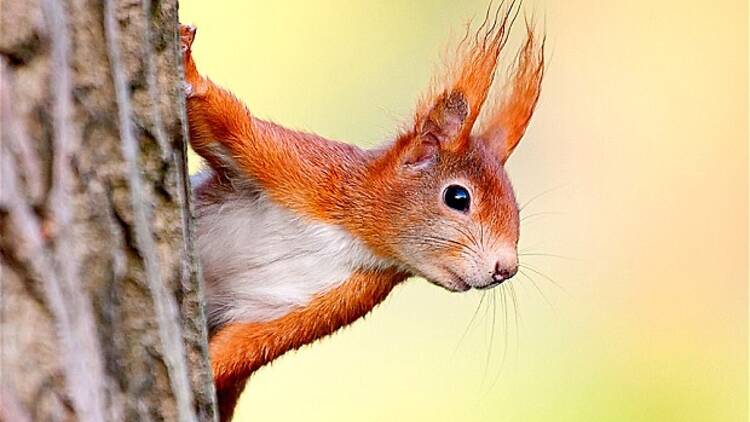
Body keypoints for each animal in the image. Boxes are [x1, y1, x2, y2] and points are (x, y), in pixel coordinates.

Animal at [182, 3, 548, 418]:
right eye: (458, 197)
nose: (506, 268)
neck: (354, 235)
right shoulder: (300, 169)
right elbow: (226, 124)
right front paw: (188, 65)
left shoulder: (330, 300)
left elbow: (244, 347)